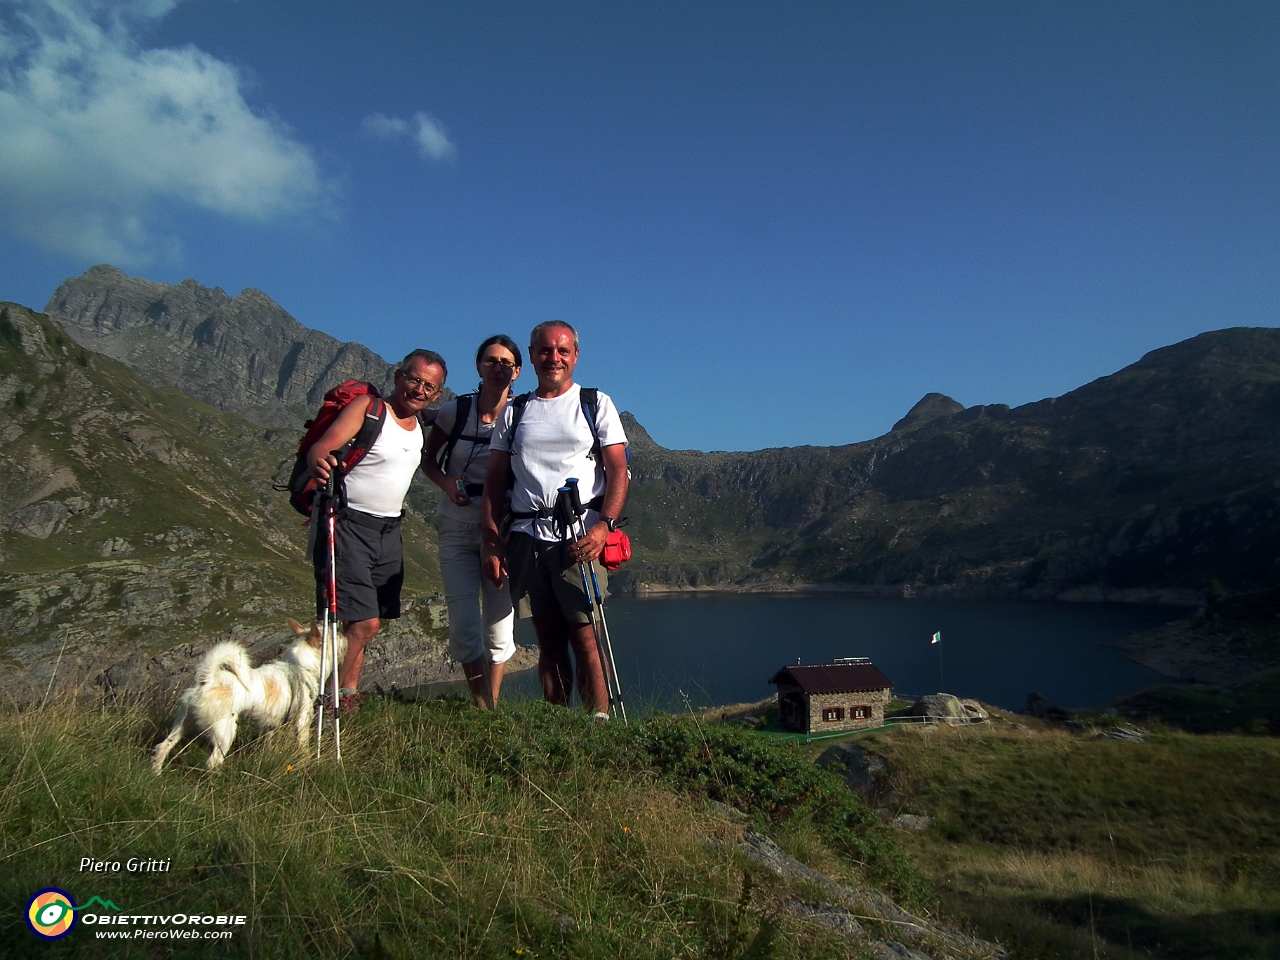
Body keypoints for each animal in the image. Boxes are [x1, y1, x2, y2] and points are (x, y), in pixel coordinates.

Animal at [151, 624, 345, 773]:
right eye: (332, 635)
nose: (342, 633)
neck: (300, 667)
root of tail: (209, 679)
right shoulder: (302, 719)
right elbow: (303, 744)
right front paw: (306, 758)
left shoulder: (269, 725)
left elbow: (269, 743)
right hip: (225, 732)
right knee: (212, 761)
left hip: (182, 724)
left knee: (163, 746)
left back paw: (156, 773)